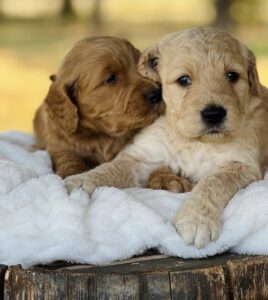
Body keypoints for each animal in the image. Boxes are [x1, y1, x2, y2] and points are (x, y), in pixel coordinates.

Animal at [33, 37, 163, 178]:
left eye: (139, 66)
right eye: (111, 78)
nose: (157, 93)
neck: (101, 134)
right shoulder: (57, 145)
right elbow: (68, 156)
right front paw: (72, 172)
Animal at [65, 27, 268, 248]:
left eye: (232, 76)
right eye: (184, 80)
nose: (214, 114)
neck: (192, 140)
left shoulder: (242, 164)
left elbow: (214, 181)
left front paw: (196, 219)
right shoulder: (144, 156)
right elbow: (112, 168)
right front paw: (79, 181)